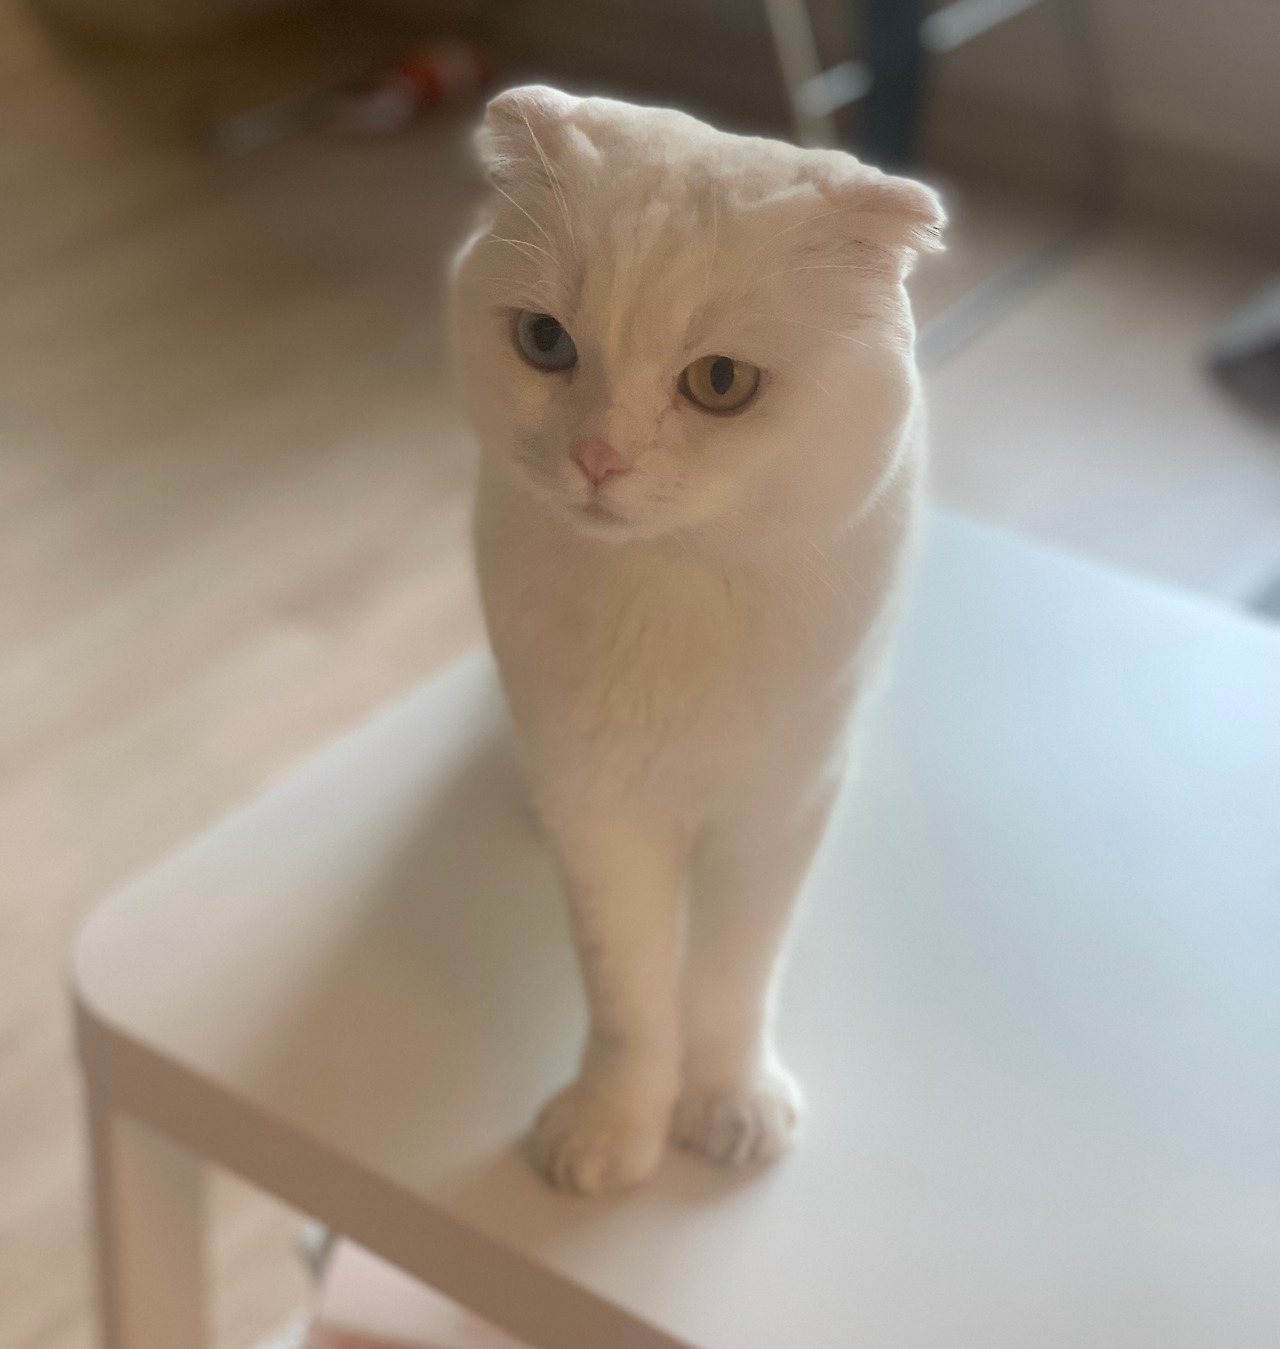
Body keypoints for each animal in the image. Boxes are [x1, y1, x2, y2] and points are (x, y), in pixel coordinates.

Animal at [451, 85, 943, 1194]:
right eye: (545, 341)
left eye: (721, 382)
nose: (598, 456)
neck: (667, 590)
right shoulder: (597, 809)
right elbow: (630, 994)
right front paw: (609, 1129)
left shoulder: (776, 807)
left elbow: (728, 977)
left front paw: (727, 1109)